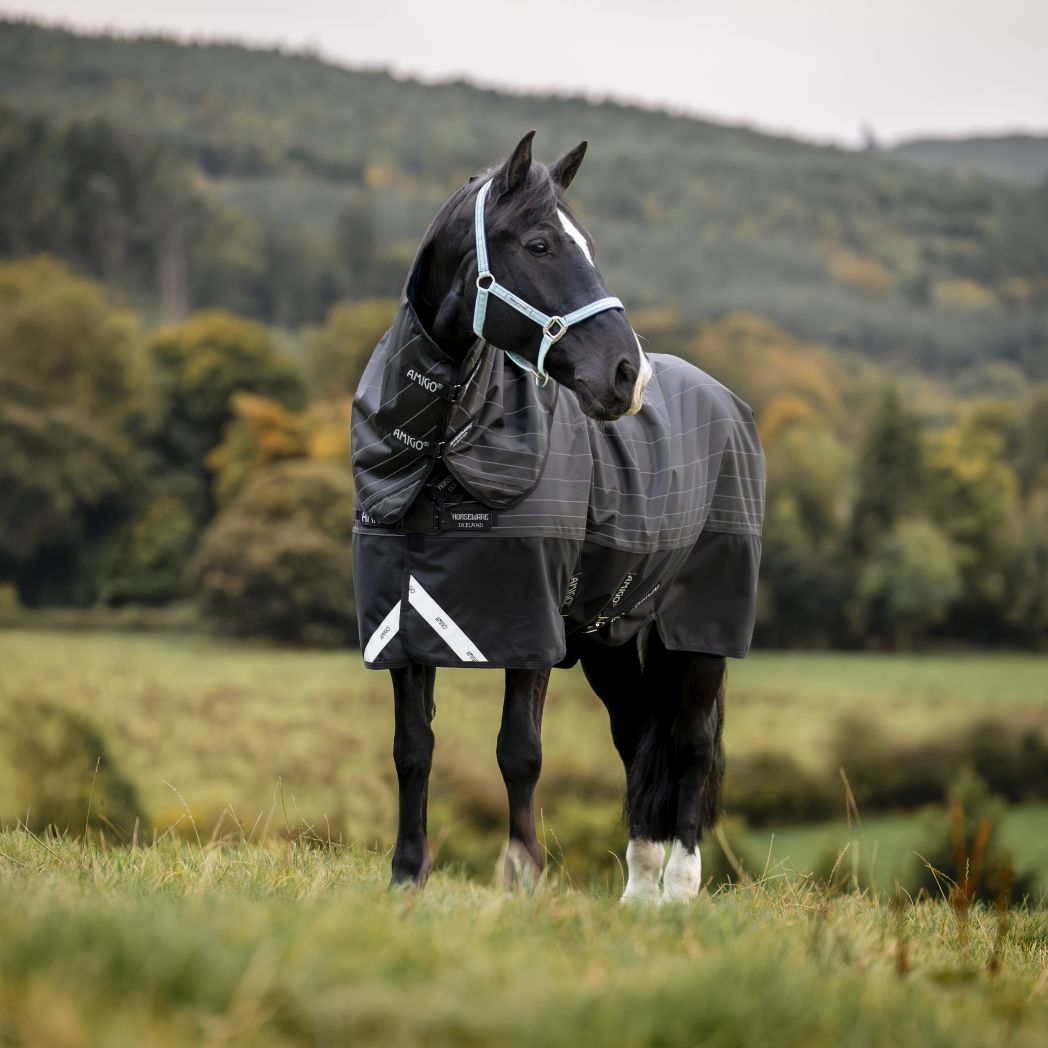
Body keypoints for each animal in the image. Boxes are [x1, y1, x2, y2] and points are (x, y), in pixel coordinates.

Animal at [351, 132, 765, 903]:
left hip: (699, 629)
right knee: (638, 736)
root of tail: (726, 401)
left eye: (589, 245)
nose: (628, 375)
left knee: (690, 743)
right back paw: (638, 892)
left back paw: (680, 888)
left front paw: (523, 880)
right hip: (608, 636)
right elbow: (412, 748)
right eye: (540, 244)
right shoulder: (404, 620)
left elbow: (520, 752)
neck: (445, 449)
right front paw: (405, 879)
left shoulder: (530, 626)